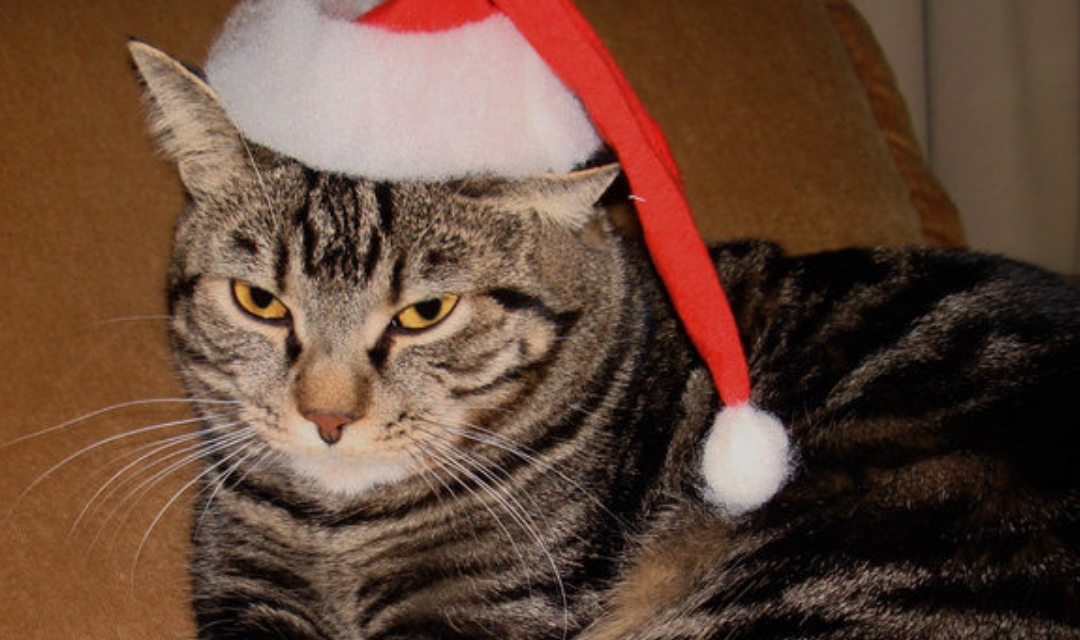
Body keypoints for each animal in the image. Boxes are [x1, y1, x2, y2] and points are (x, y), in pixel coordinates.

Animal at [130, 41, 1080, 638]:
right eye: (259, 300)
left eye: (425, 314)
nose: (326, 420)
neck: (335, 529)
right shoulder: (244, 588)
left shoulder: (491, 611)